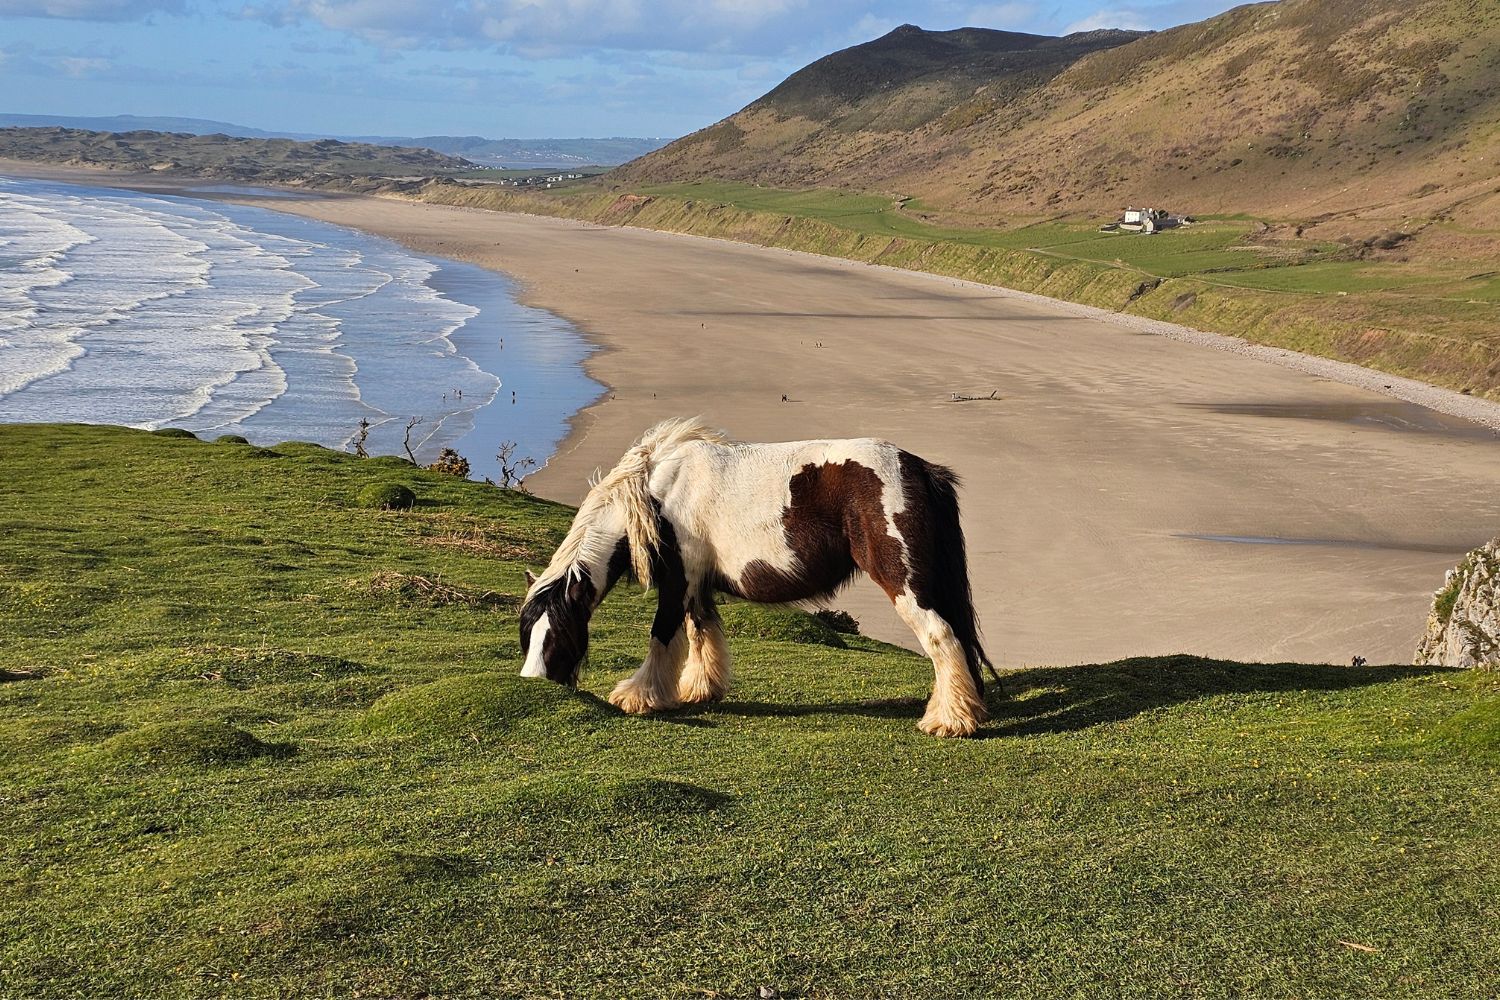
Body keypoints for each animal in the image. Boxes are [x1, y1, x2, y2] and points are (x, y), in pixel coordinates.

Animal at [518, 418, 995, 737]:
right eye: (527, 636)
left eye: (559, 635)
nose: (535, 688)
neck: (658, 492)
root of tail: (920, 469)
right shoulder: (697, 584)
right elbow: (701, 633)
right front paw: (700, 690)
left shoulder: (678, 581)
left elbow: (663, 635)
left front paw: (639, 696)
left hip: (903, 581)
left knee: (941, 637)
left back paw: (949, 721)